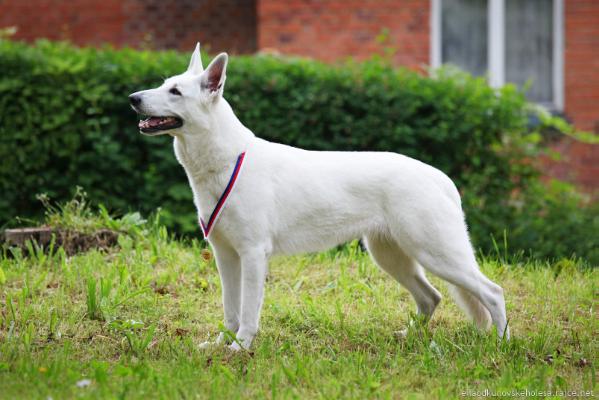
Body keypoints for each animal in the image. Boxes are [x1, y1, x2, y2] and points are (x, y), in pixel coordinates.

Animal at [129, 43, 508, 350]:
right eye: (164, 85)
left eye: (175, 91)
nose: (132, 99)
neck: (226, 159)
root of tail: (440, 177)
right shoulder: (226, 256)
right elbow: (231, 311)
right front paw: (223, 343)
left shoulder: (252, 255)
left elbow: (248, 312)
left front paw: (241, 349)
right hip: (391, 256)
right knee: (431, 298)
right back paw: (408, 337)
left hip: (436, 253)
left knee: (492, 292)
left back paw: (501, 345)